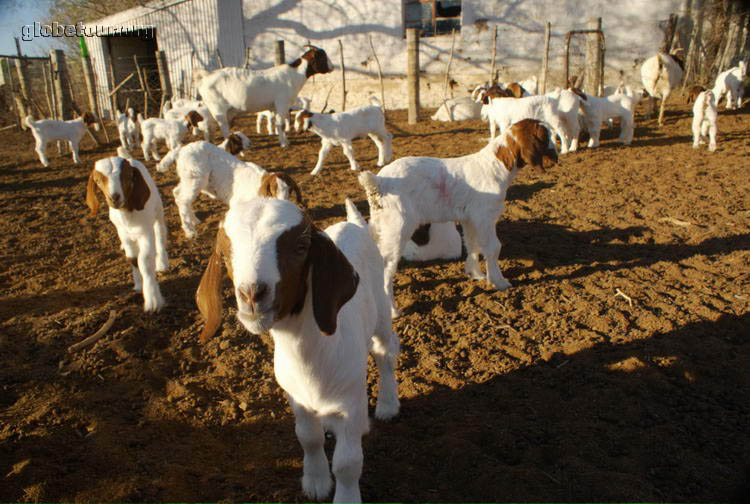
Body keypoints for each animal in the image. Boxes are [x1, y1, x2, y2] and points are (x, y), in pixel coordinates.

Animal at [85, 156, 169, 312]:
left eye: (128, 176)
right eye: (97, 180)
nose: (114, 198)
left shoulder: (145, 231)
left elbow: (144, 260)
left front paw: (152, 299)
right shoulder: (123, 233)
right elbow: (132, 259)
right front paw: (138, 284)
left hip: (158, 211)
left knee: (160, 234)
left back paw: (162, 263)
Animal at [198, 198, 400, 504]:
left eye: (301, 248)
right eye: (225, 250)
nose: (252, 294)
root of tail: (352, 224)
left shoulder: (349, 401)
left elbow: (348, 463)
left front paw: (345, 496)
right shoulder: (298, 400)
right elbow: (308, 438)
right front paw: (316, 482)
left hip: (381, 313)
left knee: (384, 353)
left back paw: (387, 405)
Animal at [358, 118, 560, 316]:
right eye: (544, 137)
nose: (556, 158)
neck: (496, 166)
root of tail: (378, 182)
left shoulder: (469, 218)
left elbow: (473, 244)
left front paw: (475, 274)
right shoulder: (484, 216)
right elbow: (493, 247)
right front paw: (499, 282)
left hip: (379, 224)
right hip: (397, 227)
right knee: (386, 268)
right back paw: (393, 311)